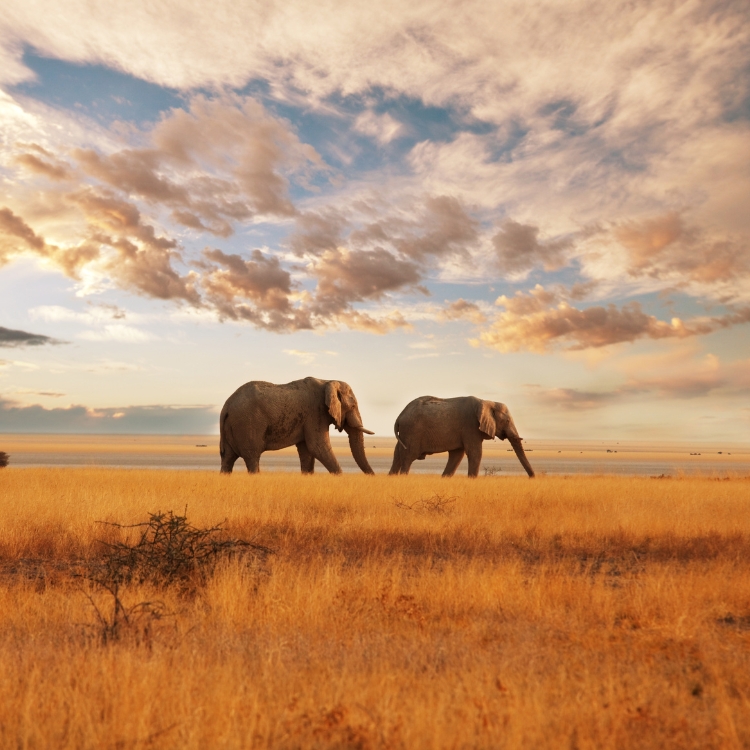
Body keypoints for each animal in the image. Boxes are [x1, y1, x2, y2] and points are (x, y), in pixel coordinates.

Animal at [222, 376, 376, 476]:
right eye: (353, 406)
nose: (372, 476)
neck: (328, 381)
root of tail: (227, 405)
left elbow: (307, 451)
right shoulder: (315, 413)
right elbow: (318, 447)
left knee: (228, 458)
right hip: (247, 424)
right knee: (252, 457)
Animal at [390, 396, 536, 478]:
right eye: (507, 421)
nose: (532, 477)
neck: (487, 402)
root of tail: (399, 416)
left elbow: (457, 455)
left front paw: (445, 478)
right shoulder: (470, 426)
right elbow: (475, 453)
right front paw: (472, 480)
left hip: (406, 433)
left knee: (397, 455)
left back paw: (391, 477)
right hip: (412, 431)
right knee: (408, 457)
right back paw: (403, 477)